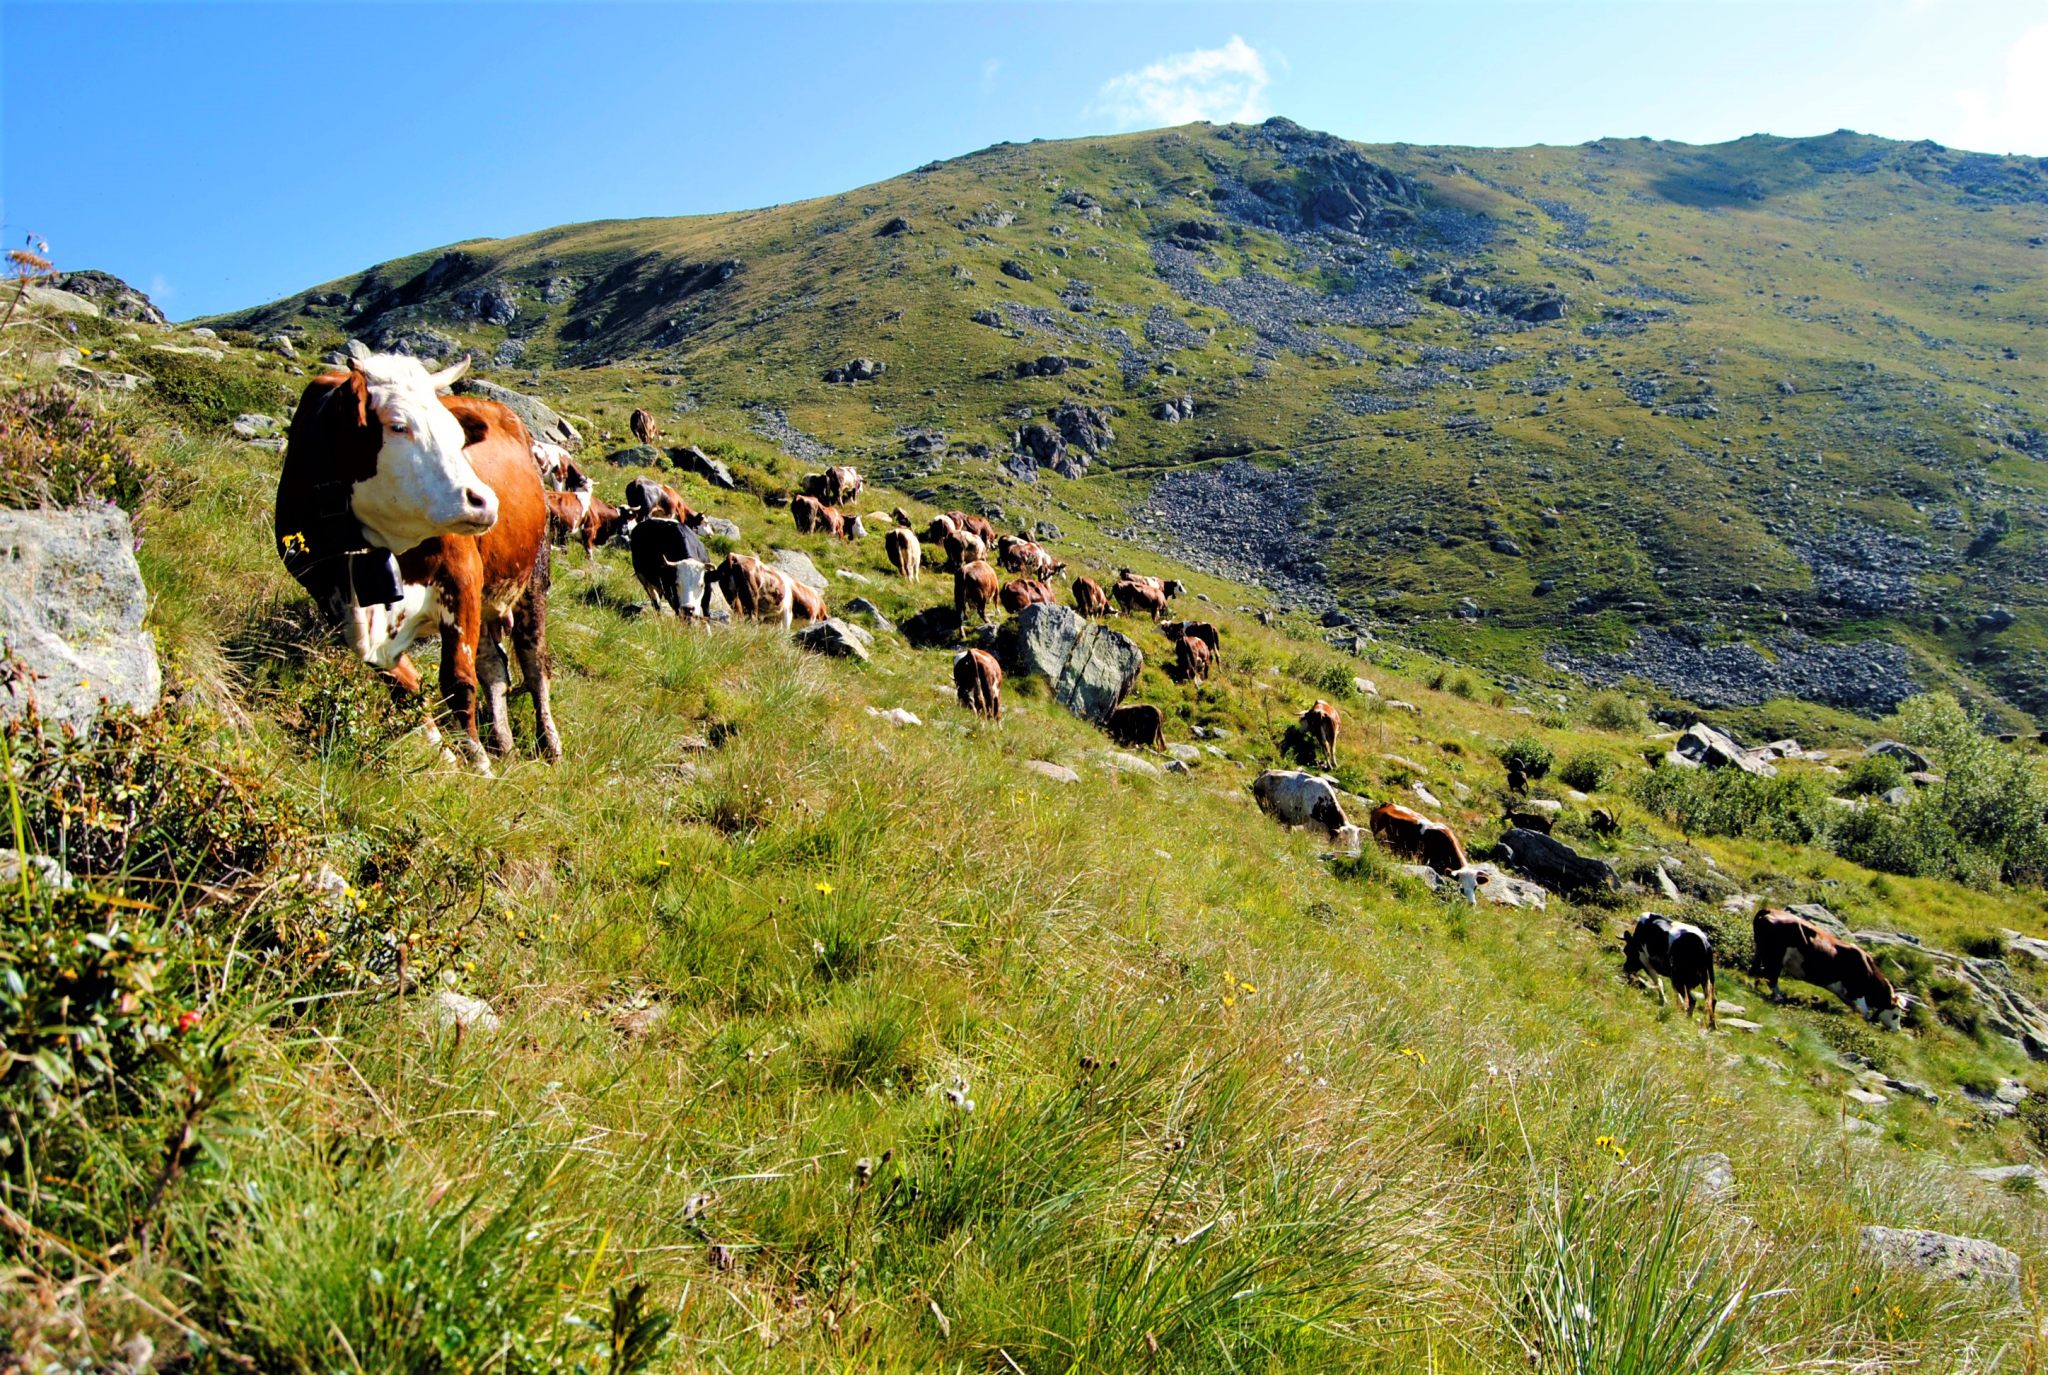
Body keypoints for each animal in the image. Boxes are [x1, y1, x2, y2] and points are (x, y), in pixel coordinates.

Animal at [276, 344, 561, 770]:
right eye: (397, 426)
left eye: (457, 436)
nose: (484, 501)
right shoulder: (335, 604)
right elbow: (405, 686)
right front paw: (444, 754)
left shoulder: (462, 579)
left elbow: (457, 681)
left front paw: (477, 762)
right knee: (493, 667)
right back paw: (503, 741)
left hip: (532, 577)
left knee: (534, 663)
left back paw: (548, 743)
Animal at [1753, 909, 1908, 1028]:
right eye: (1895, 1015)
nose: (1897, 1030)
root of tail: (1769, 910)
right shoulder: (1856, 991)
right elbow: (1864, 1010)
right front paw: (1868, 1023)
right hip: (1775, 957)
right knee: (1771, 977)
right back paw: (1779, 997)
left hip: (1761, 952)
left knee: (1759, 971)